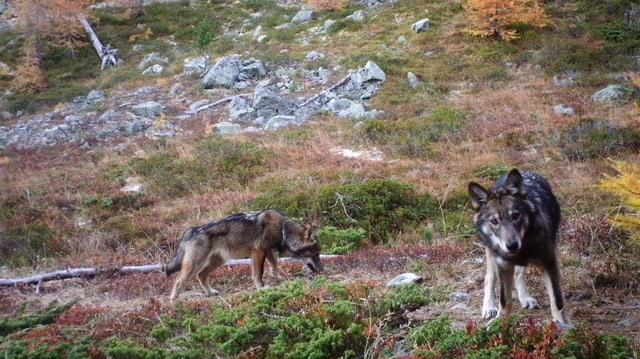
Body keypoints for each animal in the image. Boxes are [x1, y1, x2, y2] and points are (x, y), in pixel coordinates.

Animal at [166, 211, 322, 304]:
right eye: (315, 254)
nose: (322, 270)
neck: (283, 229)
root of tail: (190, 231)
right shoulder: (259, 252)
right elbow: (258, 274)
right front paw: (261, 289)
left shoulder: (268, 252)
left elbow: (274, 267)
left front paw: (279, 278)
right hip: (196, 265)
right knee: (178, 280)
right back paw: (173, 301)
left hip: (216, 262)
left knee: (201, 276)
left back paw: (210, 292)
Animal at [464, 169, 568, 326]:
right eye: (494, 221)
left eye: (515, 215)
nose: (512, 246)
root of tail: (526, 171)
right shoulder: (503, 266)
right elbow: (504, 300)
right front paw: (499, 324)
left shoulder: (549, 262)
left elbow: (557, 299)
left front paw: (561, 324)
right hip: (491, 253)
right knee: (489, 277)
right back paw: (489, 307)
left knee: (518, 274)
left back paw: (525, 298)